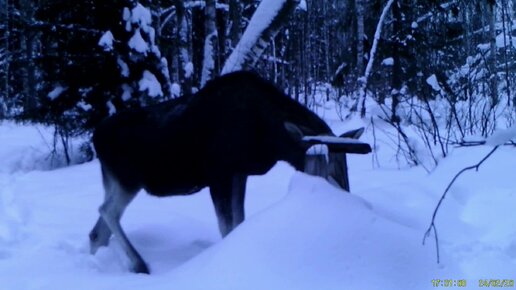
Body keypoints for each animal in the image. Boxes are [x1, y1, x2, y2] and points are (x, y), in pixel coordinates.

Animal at [89, 71, 370, 274]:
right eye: (325, 170)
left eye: (345, 166)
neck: (270, 139)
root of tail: (95, 136)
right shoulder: (219, 174)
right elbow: (226, 226)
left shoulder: (239, 173)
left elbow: (238, 221)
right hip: (128, 180)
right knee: (107, 211)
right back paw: (140, 264)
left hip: (115, 181)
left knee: (98, 231)